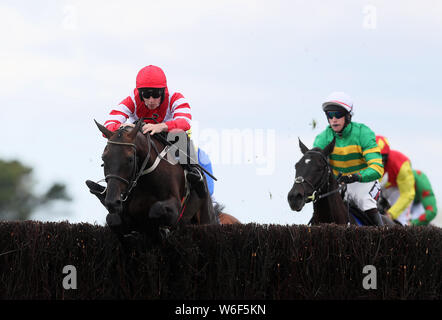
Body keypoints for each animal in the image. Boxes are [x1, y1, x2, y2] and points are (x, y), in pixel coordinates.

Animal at [89, 120, 220, 240]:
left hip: (206, 218)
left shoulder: (174, 208)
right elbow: (112, 219)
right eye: (103, 158)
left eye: (130, 159)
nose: (112, 202)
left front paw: (160, 231)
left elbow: (156, 209)